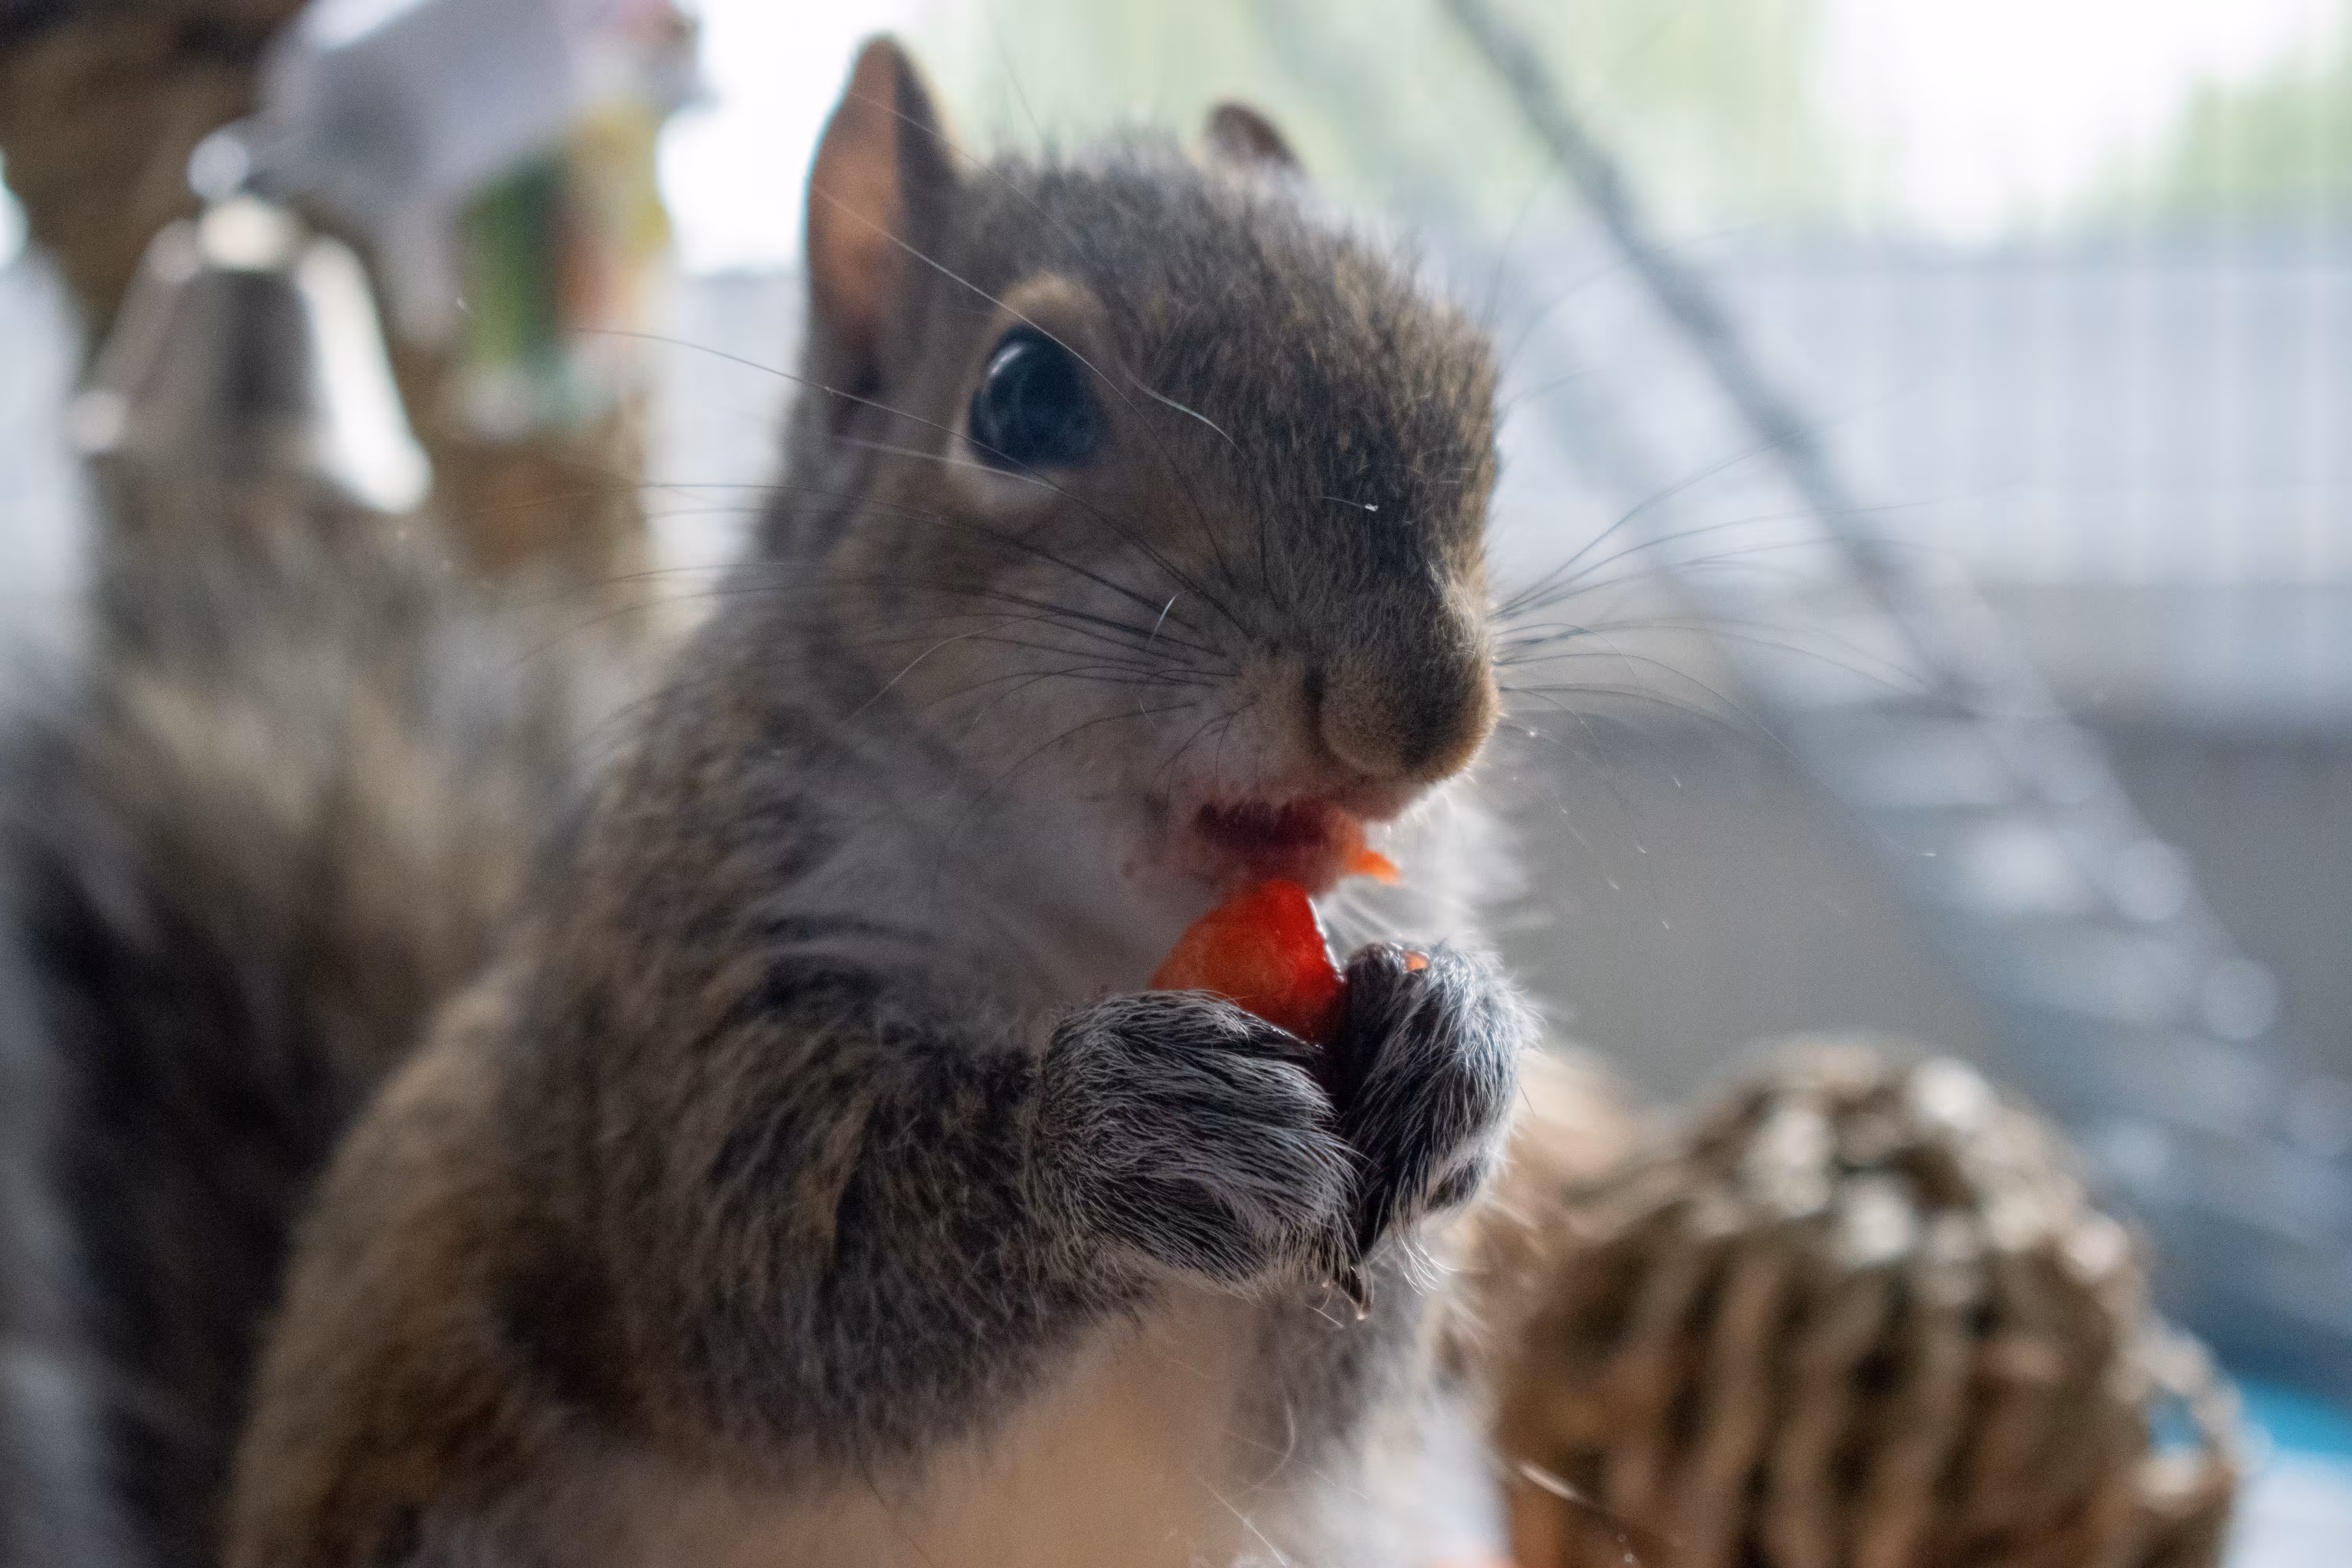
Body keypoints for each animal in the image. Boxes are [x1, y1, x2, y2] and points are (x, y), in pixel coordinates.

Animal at [4, 37, 1538, 1568]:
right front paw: (1109, 1131)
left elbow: (1307, 1401)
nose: (1423, 716)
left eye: (1475, 389)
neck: (1080, 927)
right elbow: (774, 1287)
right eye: (1022, 399)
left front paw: (1454, 1048)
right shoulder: (693, 965)